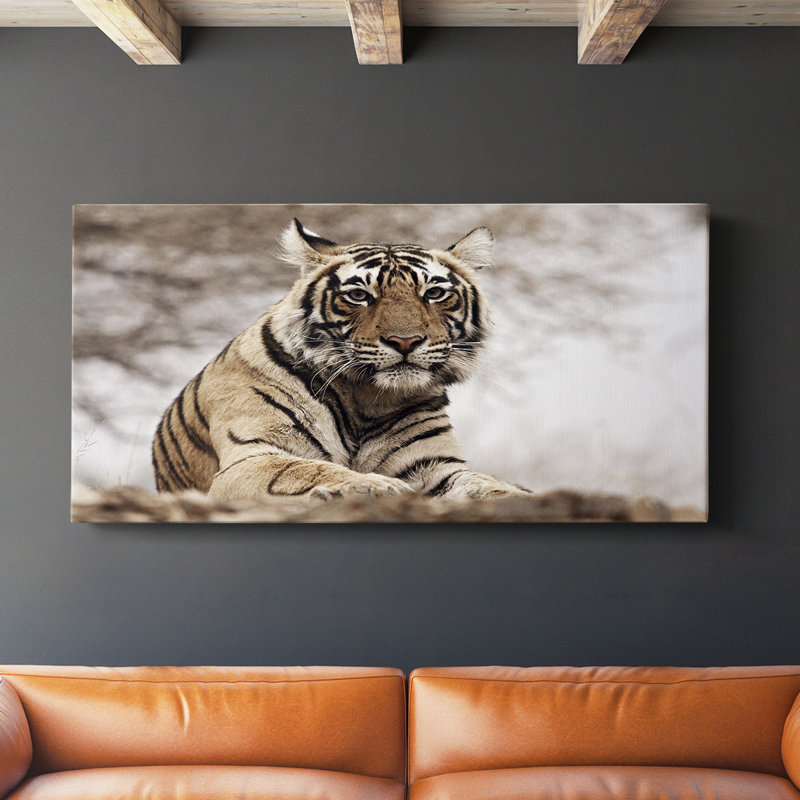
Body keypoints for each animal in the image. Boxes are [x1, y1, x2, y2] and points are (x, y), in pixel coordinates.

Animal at [151, 219, 530, 502]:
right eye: (359, 295)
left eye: (434, 293)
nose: (405, 341)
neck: (368, 398)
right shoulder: (251, 457)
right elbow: (305, 469)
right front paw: (377, 485)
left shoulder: (435, 464)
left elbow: (484, 484)